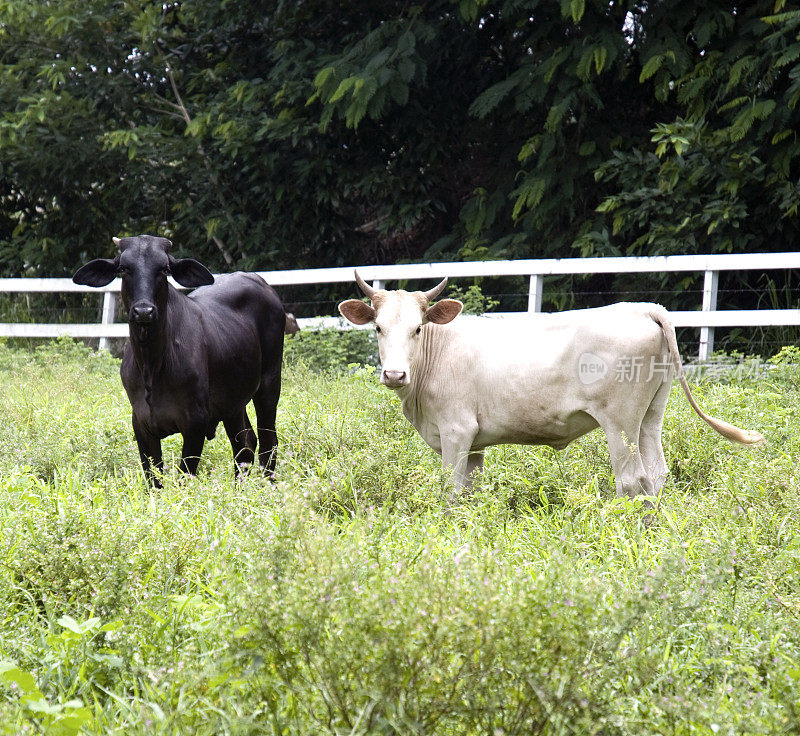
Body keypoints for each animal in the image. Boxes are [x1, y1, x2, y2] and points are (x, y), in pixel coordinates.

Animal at [72, 236, 284, 486]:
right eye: (123, 268)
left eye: (164, 269)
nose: (144, 311)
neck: (152, 365)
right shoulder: (141, 424)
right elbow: (154, 480)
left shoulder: (195, 423)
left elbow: (185, 477)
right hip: (233, 401)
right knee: (245, 446)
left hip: (270, 382)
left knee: (268, 442)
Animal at [338, 272, 764, 500]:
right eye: (378, 328)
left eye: (417, 328)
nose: (395, 375)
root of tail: (642, 307)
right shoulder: (475, 443)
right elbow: (471, 493)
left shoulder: (456, 431)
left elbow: (450, 492)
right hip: (650, 416)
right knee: (658, 475)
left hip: (620, 421)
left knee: (632, 480)